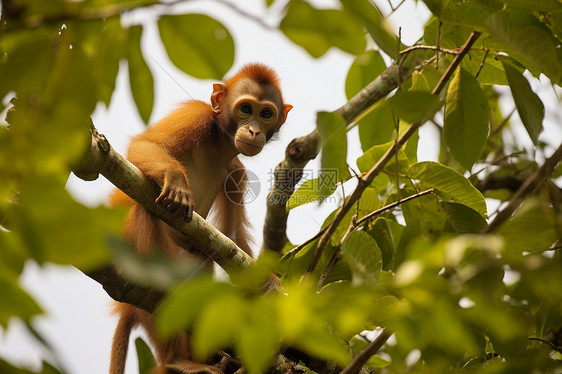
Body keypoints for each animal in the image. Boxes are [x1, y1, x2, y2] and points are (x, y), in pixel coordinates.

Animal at [109, 64, 294, 374]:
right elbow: (144, 145)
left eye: (266, 114)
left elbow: (231, 239)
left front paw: (269, 282)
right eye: (246, 108)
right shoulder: (196, 116)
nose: (254, 130)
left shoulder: (235, 171)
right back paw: (178, 360)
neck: (216, 145)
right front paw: (175, 181)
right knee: (146, 210)